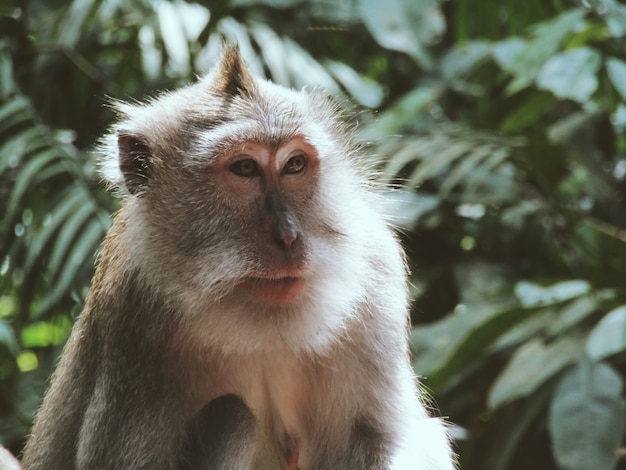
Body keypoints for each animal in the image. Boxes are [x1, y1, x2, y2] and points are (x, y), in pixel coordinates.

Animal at [19, 45, 450, 470]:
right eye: (244, 168)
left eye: (294, 164)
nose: (288, 236)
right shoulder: (131, 316)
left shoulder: (378, 270)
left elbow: (384, 438)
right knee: (232, 417)